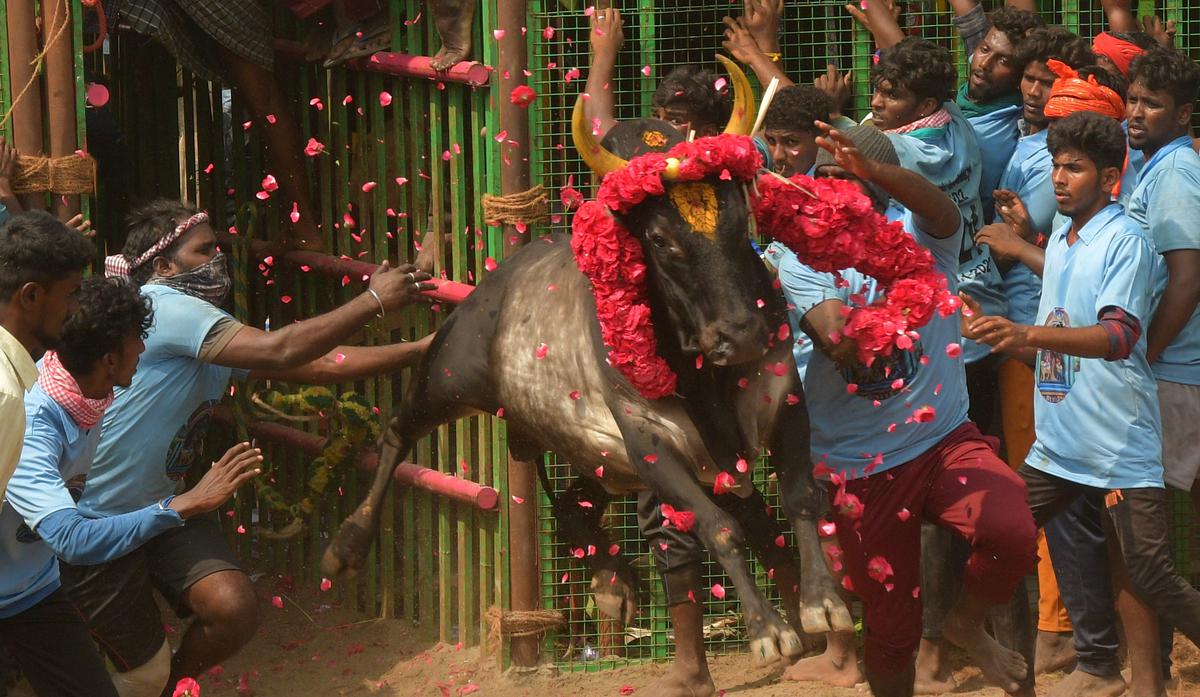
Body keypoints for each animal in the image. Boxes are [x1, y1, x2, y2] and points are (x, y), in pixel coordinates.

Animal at [324, 58, 854, 667]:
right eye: (660, 240)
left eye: (740, 217)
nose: (742, 335)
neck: (703, 376)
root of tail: (497, 283)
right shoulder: (650, 444)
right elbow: (719, 528)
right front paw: (768, 629)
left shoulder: (780, 396)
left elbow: (797, 496)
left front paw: (822, 602)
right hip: (449, 379)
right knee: (395, 432)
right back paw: (346, 544)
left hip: (594, 458)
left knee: (575, 508)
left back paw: (612, 583)